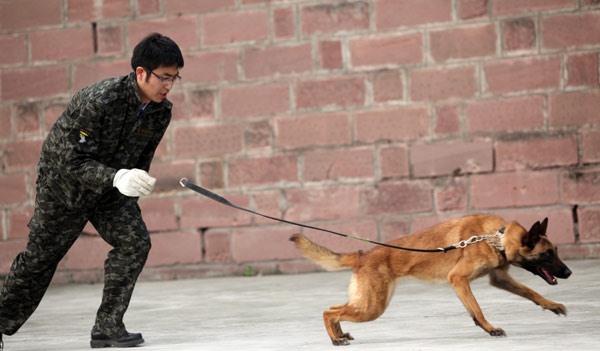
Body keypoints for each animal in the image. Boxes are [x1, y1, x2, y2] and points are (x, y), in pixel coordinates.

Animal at [290, 214, 572, 346]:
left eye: (555, 251)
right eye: (547, 254)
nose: (569, 273)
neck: (496, 237)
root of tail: (362, 253)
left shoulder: (500, 279)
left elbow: (533, 293)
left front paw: (553, 305)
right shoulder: (458, 279)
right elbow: (477, 309)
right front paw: (489, 328)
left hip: (367, 303)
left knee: (334, 309)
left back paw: (339, 334)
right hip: (373, 307)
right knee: (329, 312)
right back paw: (335, 338)